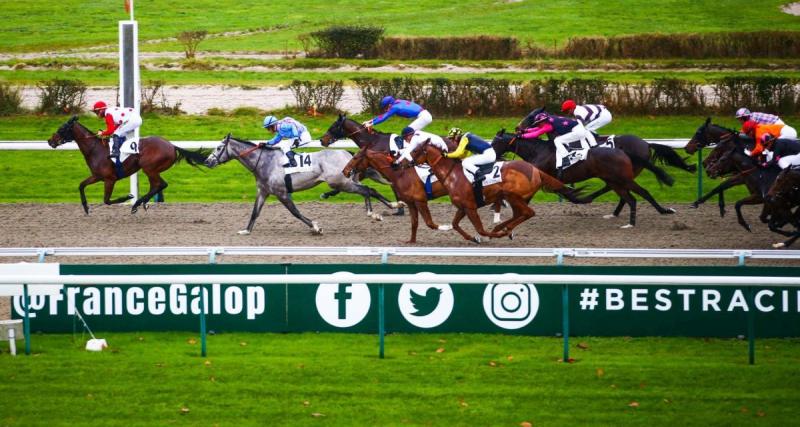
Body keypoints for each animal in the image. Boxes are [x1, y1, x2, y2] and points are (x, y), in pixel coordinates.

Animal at [45, 114, 209, 214]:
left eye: (61, 129)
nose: (50, 141)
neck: (95, 149)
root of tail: (172, 146)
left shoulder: (109, 179)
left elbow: (107, 200)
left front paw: (128, 197)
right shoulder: (97, 176)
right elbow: (81, 185)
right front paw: (85, 207)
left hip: (149, 168)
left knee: (160, 184)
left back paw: (137, 204)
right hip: (151, 170)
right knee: (158, 185)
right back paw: (142, 203)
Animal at [203, 134, 396, 236]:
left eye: (219, 148)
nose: (207, 161)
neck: (265, 162)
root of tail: (347, 153)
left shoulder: (281, 193)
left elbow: (295, 212)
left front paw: (315, 227)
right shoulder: (263, 191)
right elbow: (255, 212)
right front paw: (246, 230)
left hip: (341, 182)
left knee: (366, 190)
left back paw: (374, 213)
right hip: (349, 180)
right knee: (371, 190)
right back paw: (393, 205)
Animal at [406, 139, 588, 242]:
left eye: (415, 150)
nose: (404, 162)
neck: (452, 174)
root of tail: (535, 170)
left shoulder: (470, 206)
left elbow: (480, 229)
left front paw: (485, 236)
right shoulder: (463, 207)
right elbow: (455, 224)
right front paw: (473, 238)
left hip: (513, 195)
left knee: (528, 213)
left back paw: (505, 230)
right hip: (518, 198)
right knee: (519, 214)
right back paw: (503, 228)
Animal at [488, 131, 676, 229]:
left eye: (495, 143)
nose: (491, 156)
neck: (537, 150)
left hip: (623, 178)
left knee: (641, 193)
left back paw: (658, 212)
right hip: (615, 180)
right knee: (628, 197)